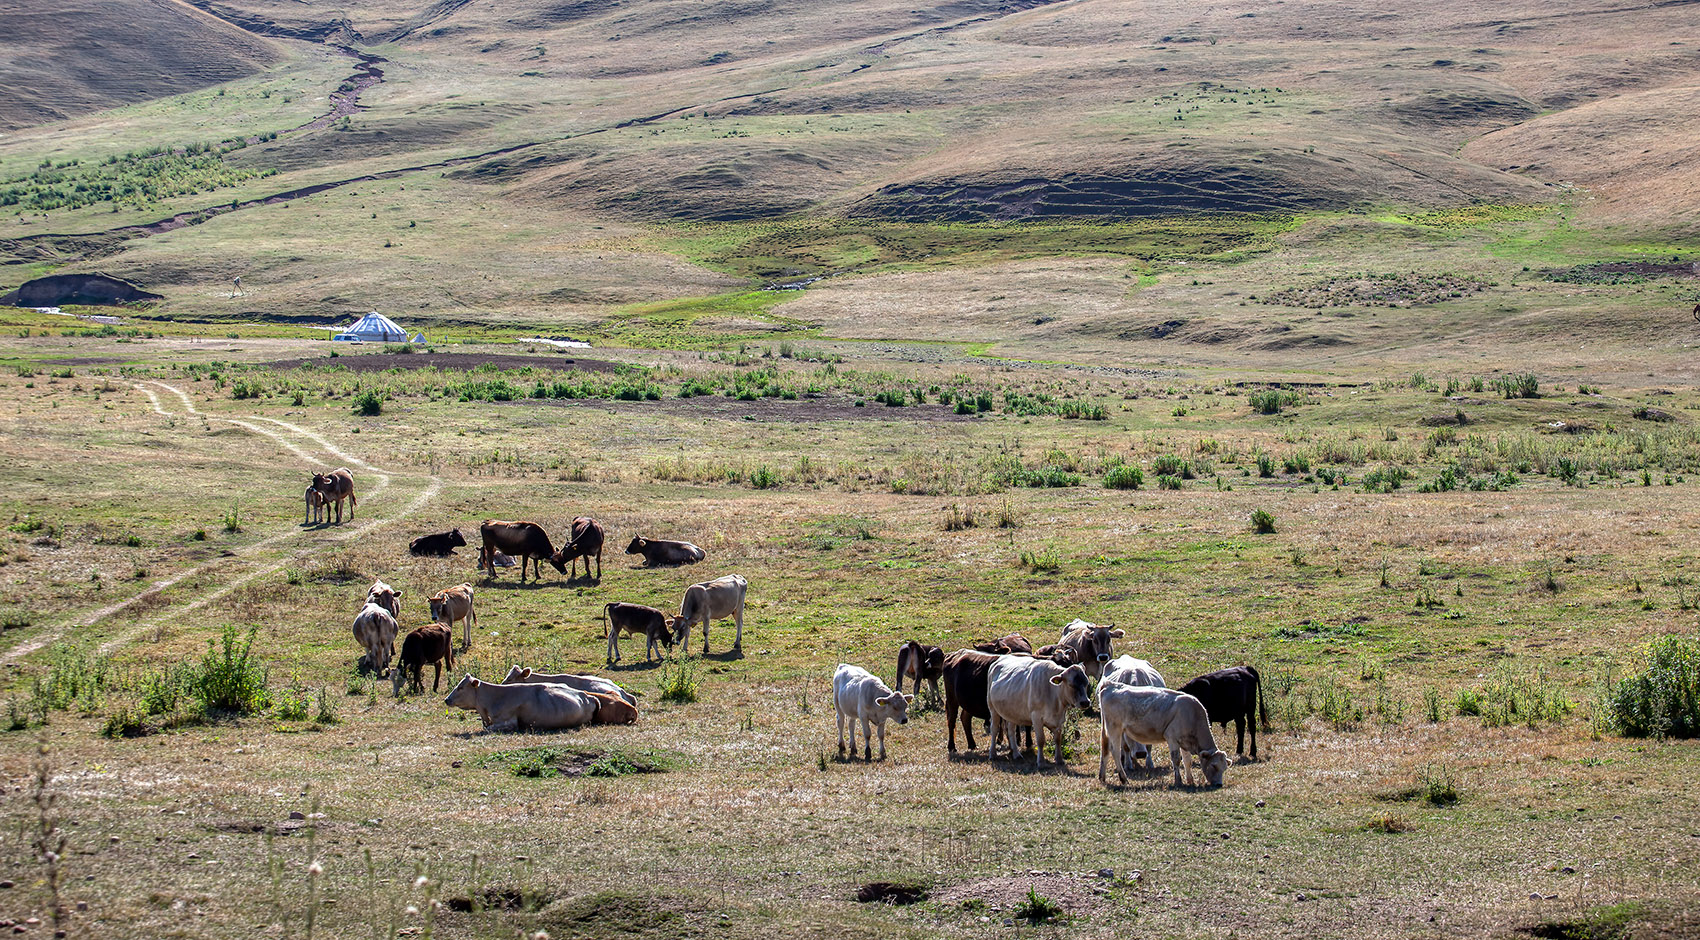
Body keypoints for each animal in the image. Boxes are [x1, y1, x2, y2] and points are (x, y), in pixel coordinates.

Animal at [1094, 676, 1230, 788]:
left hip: (1106, 729)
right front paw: (1178, 781)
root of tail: (1110, 685)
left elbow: (1187, 760)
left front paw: (1190, 780)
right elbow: (1176, 759)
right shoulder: (1172, 738)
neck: (1192, 714)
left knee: (1105, 750)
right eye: (1213, 765)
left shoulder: (1184, 741)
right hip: (1115, 728)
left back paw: (1102, 777)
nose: (1219, 784)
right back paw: (1123, 779)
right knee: (1115, 751)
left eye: (1224, 768)